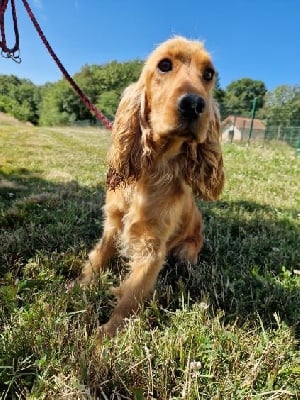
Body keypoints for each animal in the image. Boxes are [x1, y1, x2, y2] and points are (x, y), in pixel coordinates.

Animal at [78, 36, 224, 338]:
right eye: (164, 65)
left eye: (208, 74)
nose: (194, 104)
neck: (153, 168)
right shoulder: (113, 223)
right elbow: (97, 258)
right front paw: (78, 287)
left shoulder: (152, 248)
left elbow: (129, 297)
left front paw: (102, 340)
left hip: (185, 251)